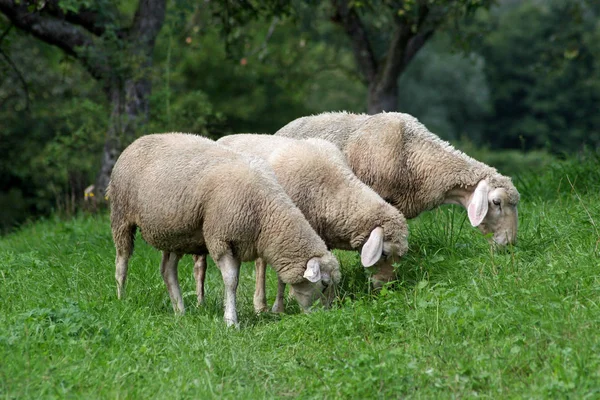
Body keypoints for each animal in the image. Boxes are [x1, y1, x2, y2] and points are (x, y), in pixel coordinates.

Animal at [107, 133, 340, 326]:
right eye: (324, 284)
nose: (326, 317)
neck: (264, 211)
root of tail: (137, 140)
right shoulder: (220, 238)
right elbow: (231, 281)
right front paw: (231, 321)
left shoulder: (237, 243)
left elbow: (233, 280)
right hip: (121, 214)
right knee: (122, 260)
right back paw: (121, 298)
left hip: (174, 233)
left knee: (167, 270)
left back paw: (180, 311)